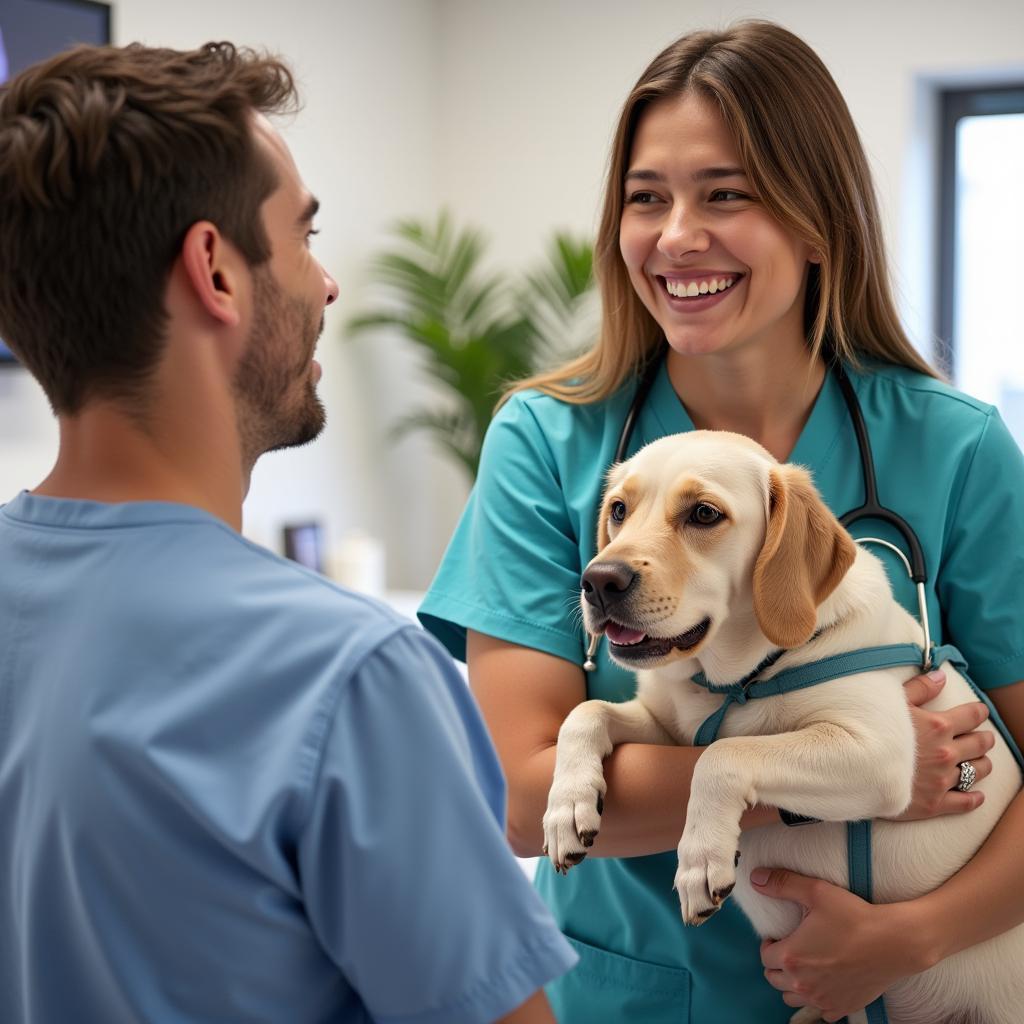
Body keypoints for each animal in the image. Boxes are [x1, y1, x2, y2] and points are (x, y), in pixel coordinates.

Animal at [540, 430, 1019, 1024]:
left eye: (704, 513)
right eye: (619, 510)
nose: (598, 581)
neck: (738, 679)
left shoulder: (880, 753)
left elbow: (722, 757)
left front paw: (700, 859)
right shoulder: (667, 727)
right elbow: (584, 715)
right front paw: (567, 809)